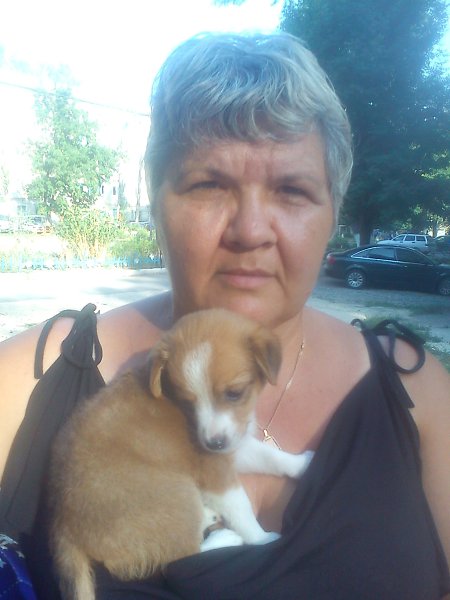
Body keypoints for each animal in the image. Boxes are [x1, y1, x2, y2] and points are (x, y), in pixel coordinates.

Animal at [49, 308, 313, 600]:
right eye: (187, 402)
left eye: (234, 394)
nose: (213, 443)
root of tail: (63, 525)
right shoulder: (216, 471)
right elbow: (241, 511)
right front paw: (262, 540)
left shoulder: (233, 446)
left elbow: (271, 458)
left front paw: (303, 465)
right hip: (178, 493)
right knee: (180, 559)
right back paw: (226, 538)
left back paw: (209, 516)